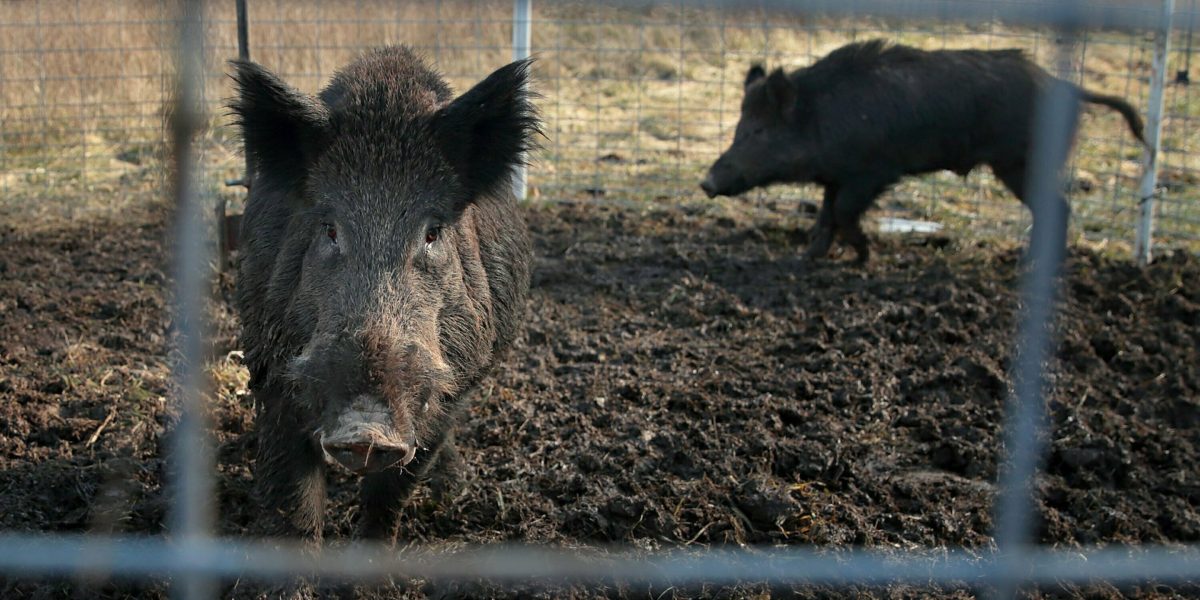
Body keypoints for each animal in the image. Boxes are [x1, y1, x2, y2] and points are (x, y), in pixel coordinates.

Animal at [228, 46, 535, 544]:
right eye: (330, 228)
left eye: (432, 233)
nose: (367, 430)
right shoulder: (269, 365)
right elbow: (293, 502)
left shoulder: (452, 387)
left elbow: (390, 494)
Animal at [700, 38, 1147, 262]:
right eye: (737, 128)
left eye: (758, 132)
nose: (706, 182)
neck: (822, 117)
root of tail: (1067, 86)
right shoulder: (837, 176)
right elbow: (825, 218)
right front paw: (807, 259)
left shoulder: (873, 172)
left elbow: (842, 213)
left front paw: (863, 256)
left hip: (1021, 162)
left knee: (1058, 207)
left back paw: (1033, 263)